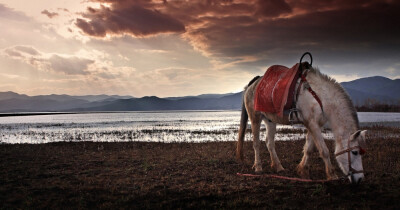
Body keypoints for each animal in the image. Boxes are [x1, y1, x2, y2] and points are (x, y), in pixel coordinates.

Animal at [236, 65, 368, 184]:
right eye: (355, 152)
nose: (360, 179)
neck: (320, 97)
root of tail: (252, 85)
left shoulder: (314, 125)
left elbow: (308, 148)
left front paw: (302, 170)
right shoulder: (312, 124)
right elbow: (323, 150)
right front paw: (332, 175)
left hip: (270, 121)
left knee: (269, 143)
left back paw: (278, 167)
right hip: (255, 118)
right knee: (256, 143)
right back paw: (258, 167)